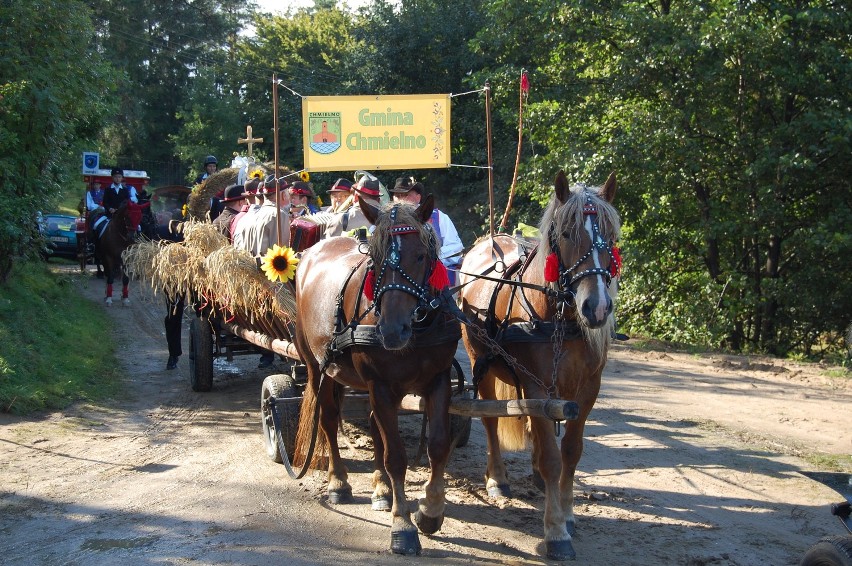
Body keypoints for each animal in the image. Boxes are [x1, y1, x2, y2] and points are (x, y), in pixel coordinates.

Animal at [292, 195, 462, 556]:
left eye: (421, 255)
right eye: (376, 258)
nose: (392, 331)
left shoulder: (439, 380)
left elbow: (438, 446)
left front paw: (430, 511)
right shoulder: (380, 385)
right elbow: (396, 455)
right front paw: (403, 526)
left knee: (372, 426)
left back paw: (381, 489)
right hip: (318, 369)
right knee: (328, 420)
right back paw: (338, 482)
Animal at [460, 171, 620, 560]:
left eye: (610, 236)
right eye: (566, 234)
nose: (597, 307)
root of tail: (490, 239)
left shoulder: (588, 388)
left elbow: (571, 453)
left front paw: (567, 511)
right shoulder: (537, 384)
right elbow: (551, 457)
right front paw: (556, 531)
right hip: (479, 363)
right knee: (490, 418)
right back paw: (498, 478)